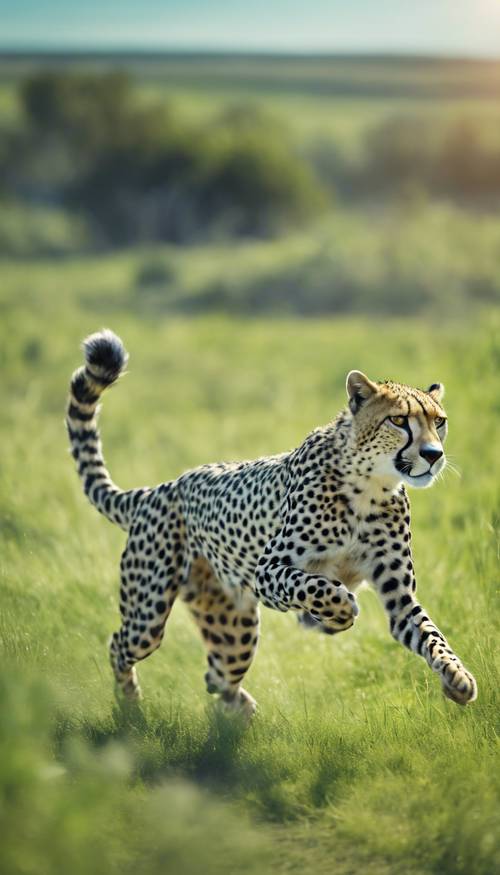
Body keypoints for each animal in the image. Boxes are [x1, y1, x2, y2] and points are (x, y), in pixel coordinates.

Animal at [65, 332, 476, 716]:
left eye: (439, 422)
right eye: (399, 420)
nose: (433, 455)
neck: (369, 486)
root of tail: (160, 488)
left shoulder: (398, 595)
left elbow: (431, 635)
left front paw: (457, 677)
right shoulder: (267, 572)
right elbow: (314, 585)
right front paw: (340, 610)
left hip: (233, 629)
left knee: (216, 674)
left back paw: (239, 709)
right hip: (149, 612)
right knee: (119, 644)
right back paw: (130, 704)